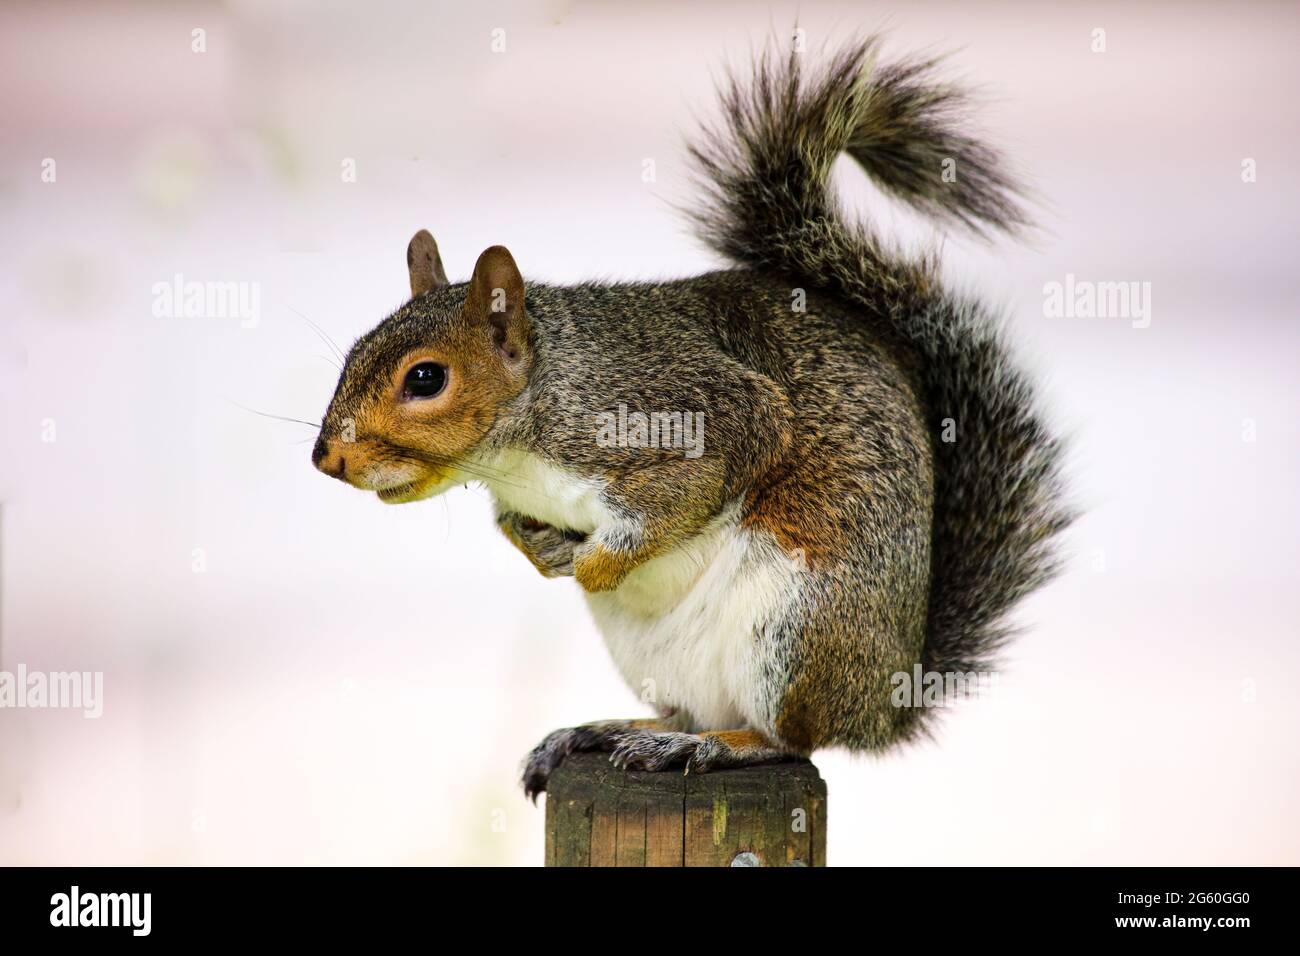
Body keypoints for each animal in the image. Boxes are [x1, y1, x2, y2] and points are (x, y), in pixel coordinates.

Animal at [312, 36, 1072, 799]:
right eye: (352, 353)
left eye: (426, 378)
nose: (328, 459)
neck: (522, 441)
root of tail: (884, 706)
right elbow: (512, 526)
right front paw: (541, 552)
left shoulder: (692, 413)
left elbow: (694, 486)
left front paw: (590, 566)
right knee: (688, 708)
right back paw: (618, 732)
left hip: (798, 628)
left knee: (792, 739)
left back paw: (718, 746)